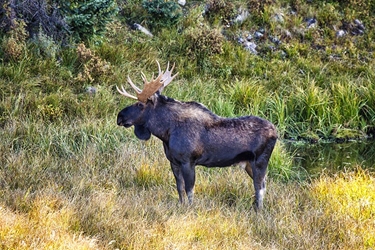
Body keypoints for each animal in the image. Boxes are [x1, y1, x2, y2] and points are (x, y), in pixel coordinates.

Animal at [116, 61, 278, 210]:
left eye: (140, 105)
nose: (119, 117)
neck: (166, 131)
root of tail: (276, 132)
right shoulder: (174, 162)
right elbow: (179, 188)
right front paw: (181, 206)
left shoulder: (188, 161)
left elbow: (189, 190)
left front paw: (190, 208)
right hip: (249, 164)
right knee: (263, 185)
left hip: (260, 162)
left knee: (260, 187)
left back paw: (258, 211)